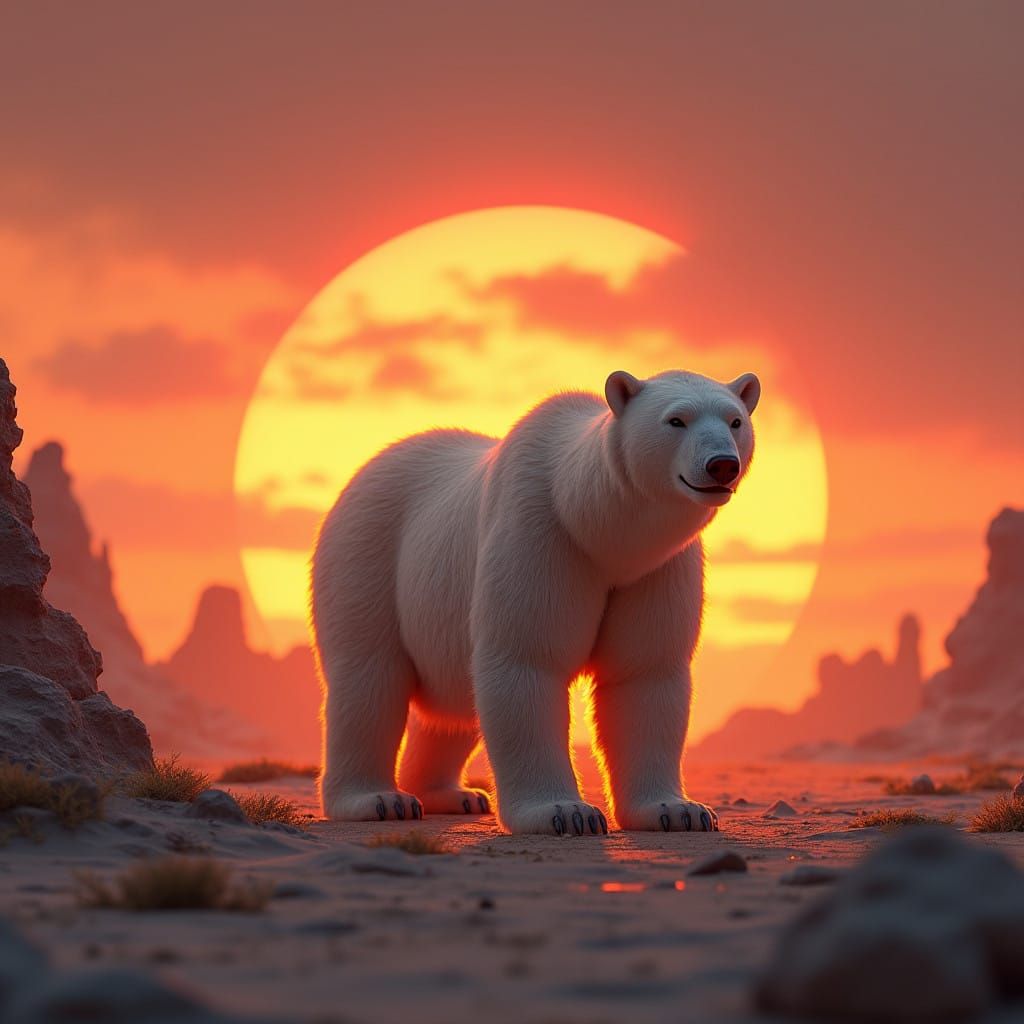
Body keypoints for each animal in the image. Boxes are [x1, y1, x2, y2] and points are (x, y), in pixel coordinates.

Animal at [312, 367, 760, 835]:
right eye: (676, 420)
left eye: (735, 421)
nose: (721, 464)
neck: (597, 529)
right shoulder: (540, 532)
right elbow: (526, 659)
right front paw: (566, 813)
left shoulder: (655, 569)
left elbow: (644, 673)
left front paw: (679, 811)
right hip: (368, 555)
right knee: (369, 678)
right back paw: (379, 800)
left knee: (453, 705)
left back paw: (454, 795)